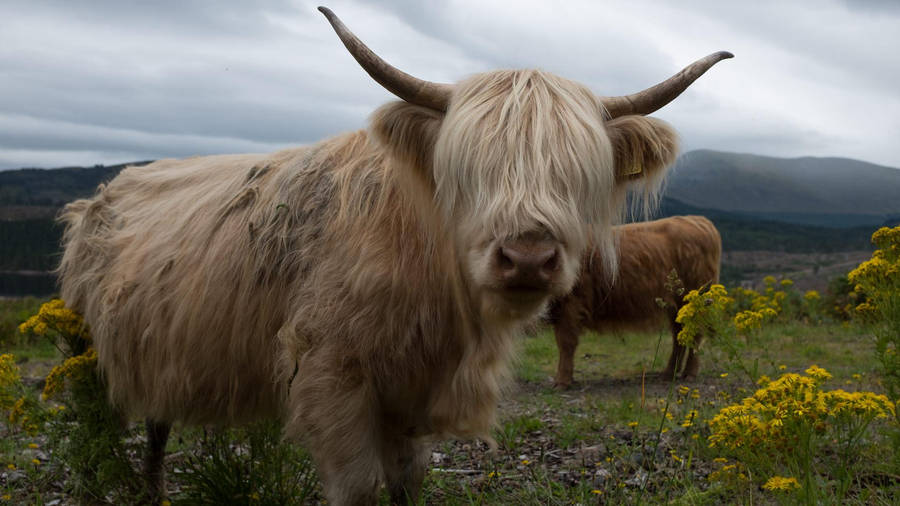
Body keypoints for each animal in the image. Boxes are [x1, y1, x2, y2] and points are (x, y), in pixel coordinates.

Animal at [549, 215, 722, 389]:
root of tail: (698, 220)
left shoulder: (570, 305)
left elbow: (566, 343)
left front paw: (562, 381)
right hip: (677, 307)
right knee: (679, 335)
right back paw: (669, 373)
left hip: (695, 300)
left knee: (696, 334)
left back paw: (689, 373)